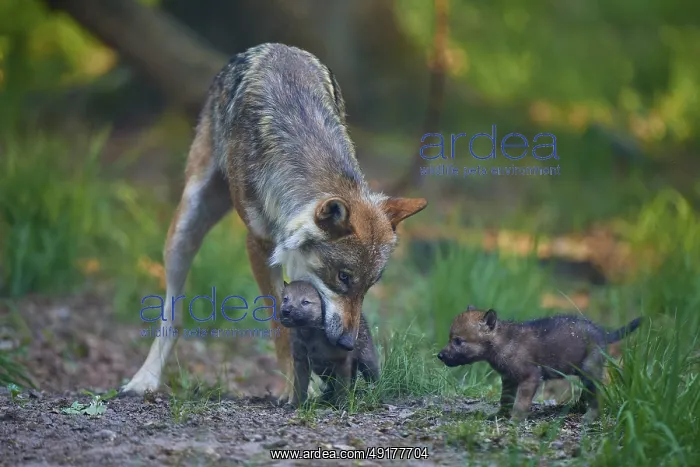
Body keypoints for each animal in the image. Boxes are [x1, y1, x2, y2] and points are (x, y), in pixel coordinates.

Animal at [120, 43, 427, 401]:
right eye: (344, 277)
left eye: (369, 285)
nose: (348, 342)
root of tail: (273, 46)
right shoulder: (259, 246)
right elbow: (280, 326)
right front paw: (296, 389)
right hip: (185, 228)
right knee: (173, 316)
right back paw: (144, 379)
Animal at [437, 306, 642, 421]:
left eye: (458, 341)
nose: (439, 355)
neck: (501, 342)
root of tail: (603, 333)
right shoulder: (508, 379)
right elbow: (505, 399)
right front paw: (499, 415)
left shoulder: (531, 377)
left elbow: (520, 402)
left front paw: (515, 419)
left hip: (588, 370)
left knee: (597, 395)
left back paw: (589, 417)